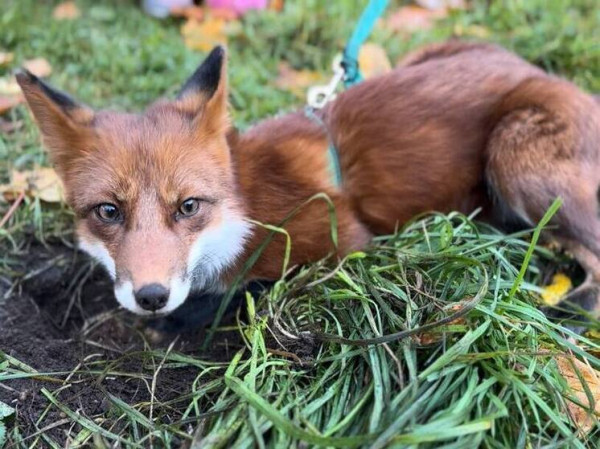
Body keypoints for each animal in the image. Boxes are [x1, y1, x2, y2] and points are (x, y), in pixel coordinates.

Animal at [15, 41, 600, 321]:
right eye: (108, 211)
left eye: (188, 207)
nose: (152, 296)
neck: (247, 210)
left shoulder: (342, 244)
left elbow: (243, 292)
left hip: (512, 158)